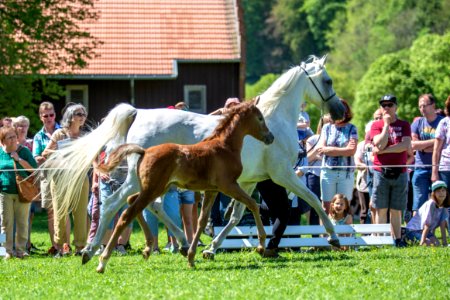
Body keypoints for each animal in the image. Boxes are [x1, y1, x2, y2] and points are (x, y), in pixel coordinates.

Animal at [95, 101, 274, 272]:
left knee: (132, 202)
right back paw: (102, 260)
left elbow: (202, 221)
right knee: (126, 214)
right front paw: (261, 245)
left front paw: (191, 257)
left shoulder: (211, 190)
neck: (224, 146)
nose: (270, 137)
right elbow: (253, 204)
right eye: (260, 118)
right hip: (152, 189)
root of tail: (144, 152)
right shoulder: (228, 185)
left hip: (156, 188)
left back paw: (148, 247)